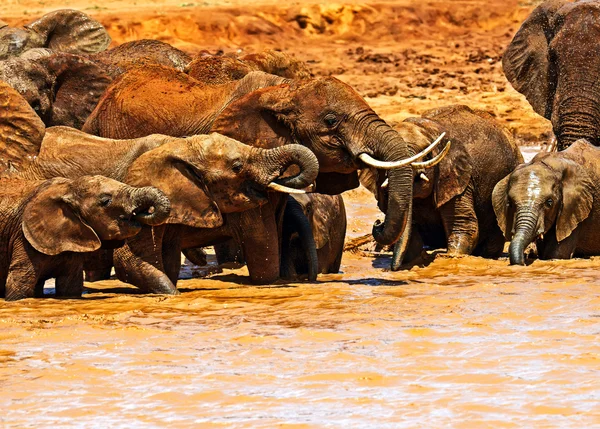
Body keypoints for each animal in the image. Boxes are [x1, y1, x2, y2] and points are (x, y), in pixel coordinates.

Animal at [0, 172, 170, 300]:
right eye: (106, 201)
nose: (141, 212)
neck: (68, 187)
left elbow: (70, 287)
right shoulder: (23, 237)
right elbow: (19, 286)